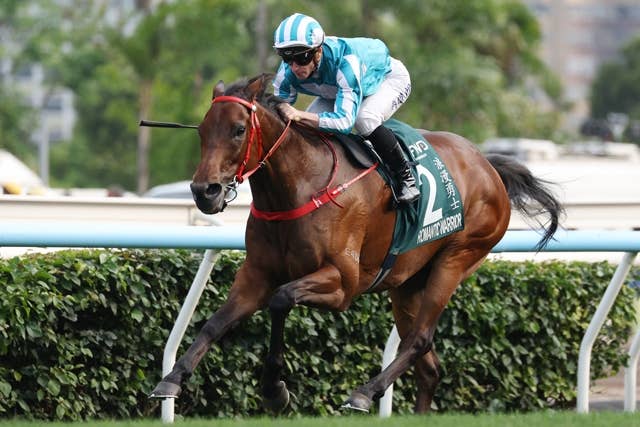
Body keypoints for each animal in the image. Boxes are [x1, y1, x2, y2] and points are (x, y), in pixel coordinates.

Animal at [149, 73, 562, 413]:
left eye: (237, 130)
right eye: (202, 131)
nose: (204, 192)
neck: (299, 187)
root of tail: (487, 165)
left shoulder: (342, 283)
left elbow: (281, 299)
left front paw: (274, 389)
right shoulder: (256, 275)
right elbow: (214, 323)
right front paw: (171, 379)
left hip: (456, 259)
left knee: (420, 340)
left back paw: (364, 392)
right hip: (408, 284)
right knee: (428, 366)